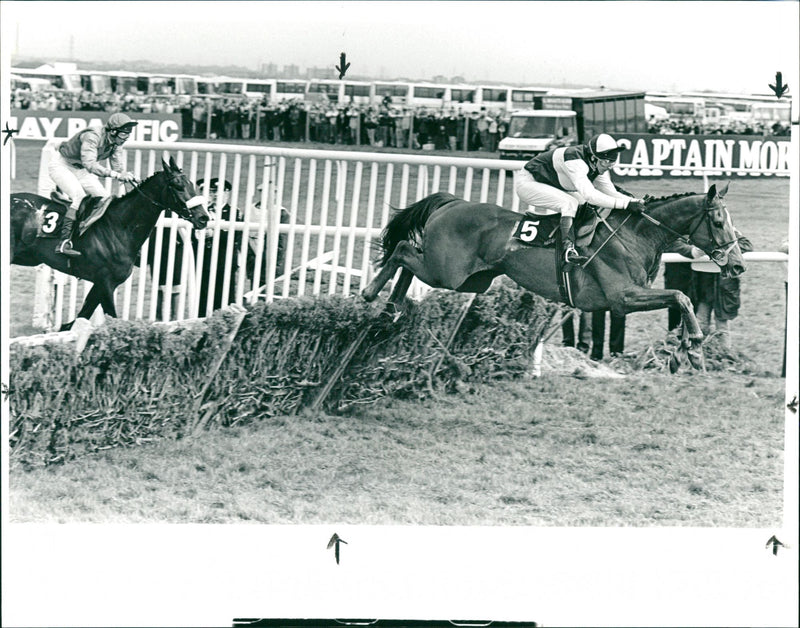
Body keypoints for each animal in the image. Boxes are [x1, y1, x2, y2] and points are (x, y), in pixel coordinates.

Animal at [11, 158, 209, 328]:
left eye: (191, 184)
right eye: (178, 186)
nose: (203, 218)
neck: (119, 227)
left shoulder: (100, 284)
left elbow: (79, 318)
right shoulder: (106, 283)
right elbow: (112, 319)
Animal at [366, 183, 748, 368]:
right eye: (718, 221)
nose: (738, 265)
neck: (634, 235)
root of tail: (454, 203)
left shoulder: (632, 296)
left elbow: (681, 302)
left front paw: (684, 351)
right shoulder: (622, 298)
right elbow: (681, 297)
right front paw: (694, 346)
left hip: (470, 278)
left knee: (406, 261)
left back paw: (390, 309)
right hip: (446, 271)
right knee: (402, 250)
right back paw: (371, 293)